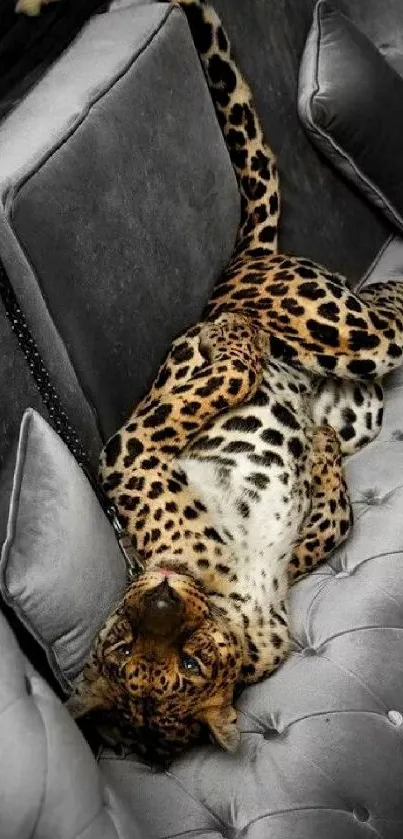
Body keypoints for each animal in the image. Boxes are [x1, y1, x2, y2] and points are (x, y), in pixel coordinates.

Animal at [66, 0, 403, 764]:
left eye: (188, 660)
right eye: (128, 653)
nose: (159, 594)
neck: (226, 602)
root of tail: (239, 263)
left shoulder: (129, 454)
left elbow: (204, 388)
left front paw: (231, 344)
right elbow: (332, 518)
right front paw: (316, 458)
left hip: (336, 324)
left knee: (390, 304)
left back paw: (238, 327)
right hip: (357, 383)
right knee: (391, 304)